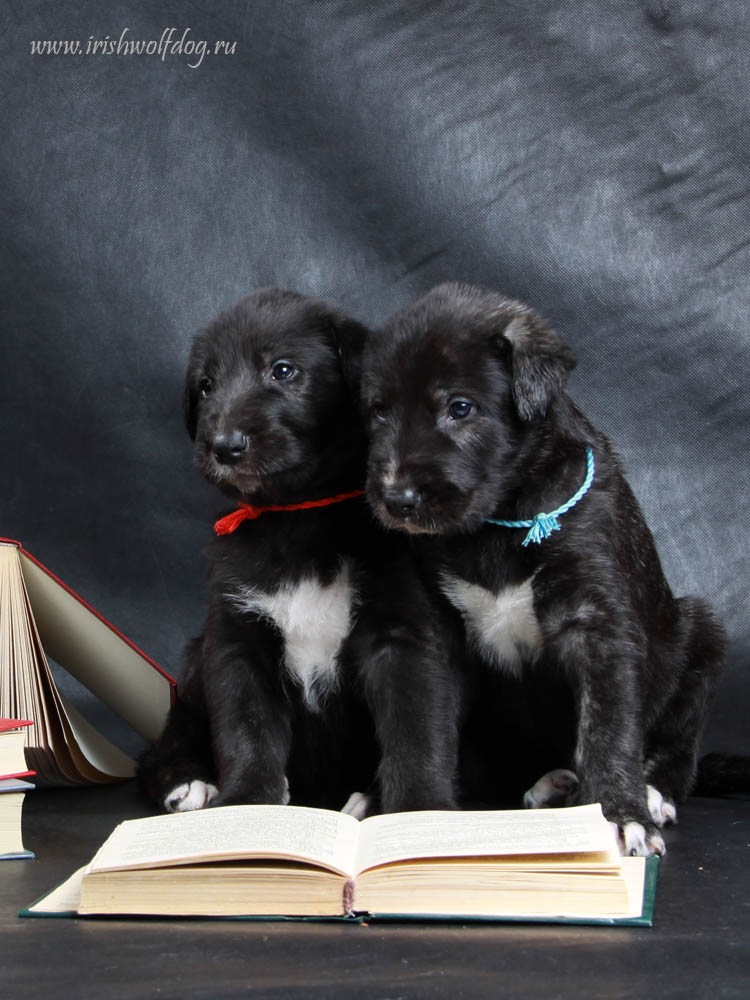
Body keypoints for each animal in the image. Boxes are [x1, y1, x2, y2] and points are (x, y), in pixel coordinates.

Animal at [364, 280, 728, 852]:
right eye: (378, 412)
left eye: (460, 408)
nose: (396, 498)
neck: (498, 522)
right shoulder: (434, 630)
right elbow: (421, 724)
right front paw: (410, 814)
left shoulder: (596, 622)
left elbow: (607, 728)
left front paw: (621, 814)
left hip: (701, 636)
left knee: (679, 750)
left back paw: (650, 792)